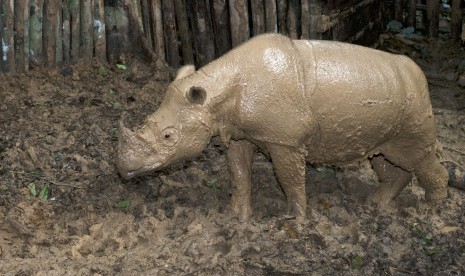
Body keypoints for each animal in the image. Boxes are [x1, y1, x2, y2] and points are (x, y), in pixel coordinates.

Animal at [116, 33, 450, 221]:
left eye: (168, 136)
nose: (123, 168)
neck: (217, 91)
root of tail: (418, 73)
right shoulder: (239, 134)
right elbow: (239, 173)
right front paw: (235, 216)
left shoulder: (284, 140)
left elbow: (289, 178)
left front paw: (295, 219)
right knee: (384, 156)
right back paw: (376, 205)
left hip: (413, 106)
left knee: (416, 156)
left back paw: (429, 211)